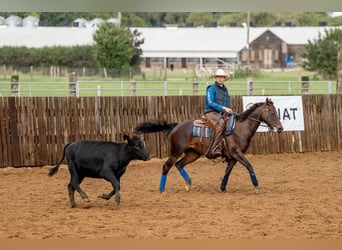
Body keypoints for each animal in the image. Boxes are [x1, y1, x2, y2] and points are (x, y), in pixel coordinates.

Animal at [136, 97, 284, 193]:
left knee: (179, 164)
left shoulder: (233, 157)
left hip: (193, 154)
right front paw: (256, 186)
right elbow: (249, 166)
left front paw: (223, 188)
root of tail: (176, 125)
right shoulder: (237, 153)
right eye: (272, 112)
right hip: (175, 152)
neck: (240, 128)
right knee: (167, 166)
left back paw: (188, 183)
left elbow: (227, 172)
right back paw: (162, 189)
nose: (280, 128)